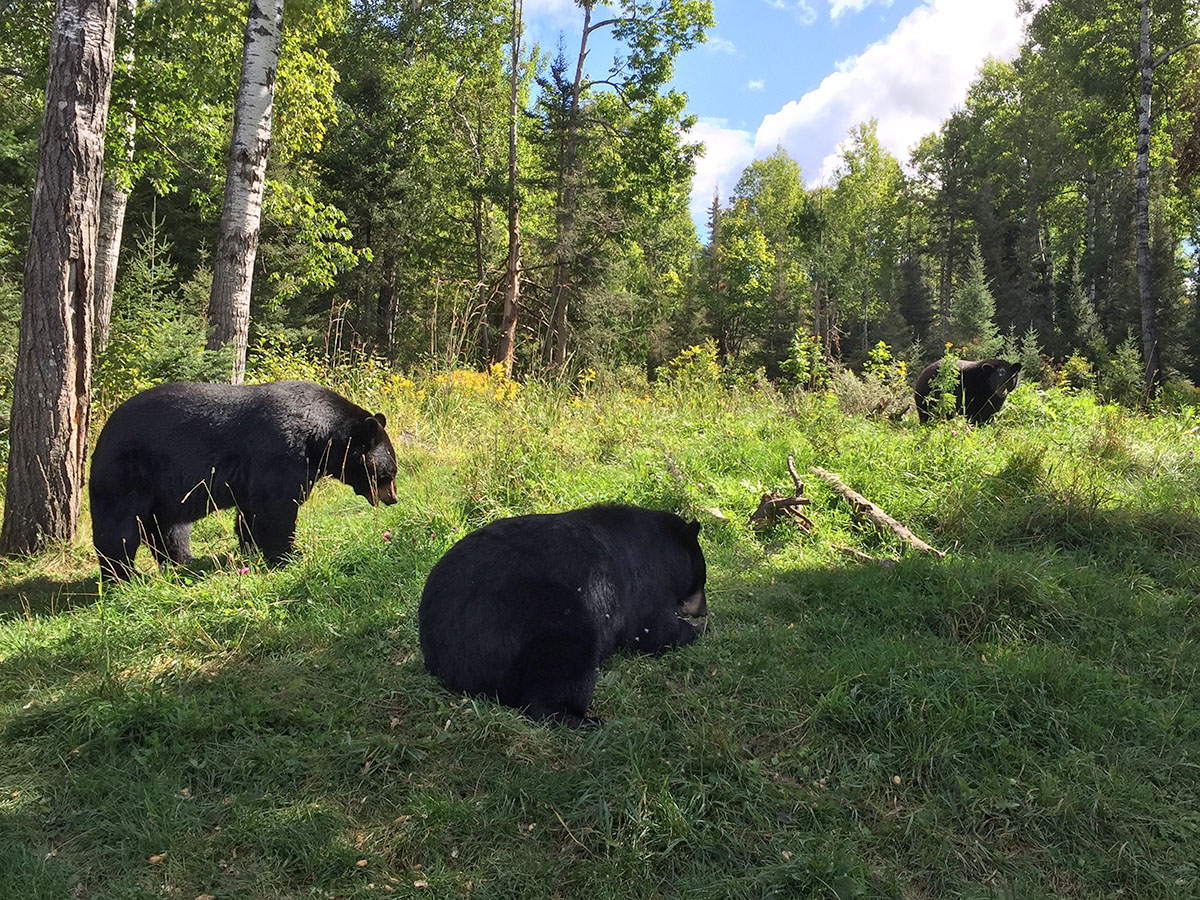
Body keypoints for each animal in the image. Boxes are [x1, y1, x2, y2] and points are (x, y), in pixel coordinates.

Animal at [89, 380, 399, 580]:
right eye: (389, 473)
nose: (393, 498)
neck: (321, 437)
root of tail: (102, 434)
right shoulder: (281, 451)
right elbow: (276, 507)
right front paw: (288, 555)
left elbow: (251, 512)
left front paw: (250, 549)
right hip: (126, 473)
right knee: (117, 527)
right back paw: (122, 575)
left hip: (160, 493)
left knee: (168, 528)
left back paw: (184, 559)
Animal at [417, 504, 708, 727]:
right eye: (701, 578)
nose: (702, 609)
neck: (658, 549)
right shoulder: (642, 582)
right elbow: (652, 629)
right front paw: (698, 628)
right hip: (538, 617)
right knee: (567, 667)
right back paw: (586, 719)